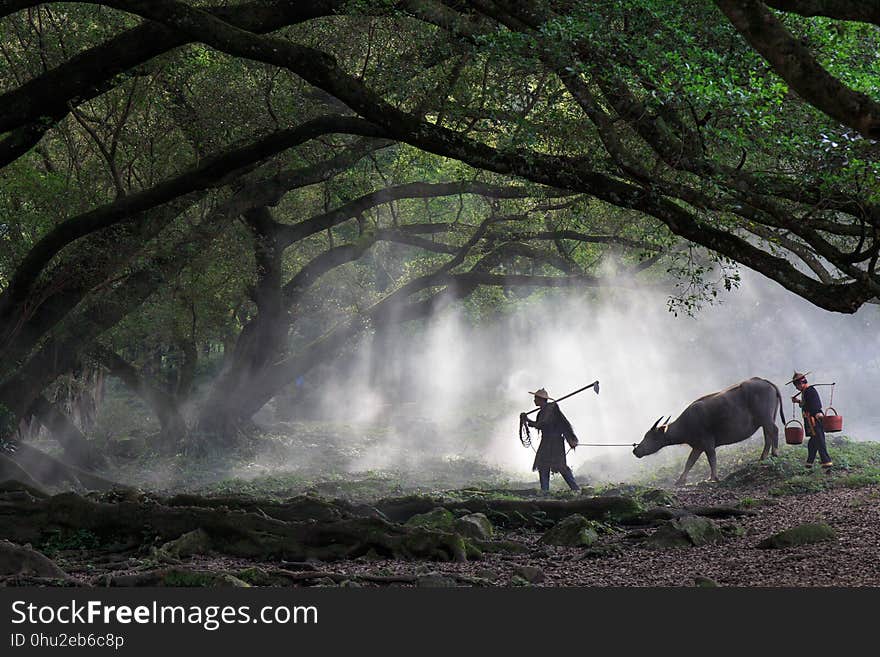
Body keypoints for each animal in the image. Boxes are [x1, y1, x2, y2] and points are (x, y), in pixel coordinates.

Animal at [632, 376, 784, 484]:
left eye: (650, 436)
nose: (636, 450)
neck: (687, 423)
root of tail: (764, 381)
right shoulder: (697, 447)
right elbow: (689, 462)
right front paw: (680, 480)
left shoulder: (707, 443)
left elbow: (712, 459)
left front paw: (713, 477)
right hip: (767, 418)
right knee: (768, 435)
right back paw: (763, 457)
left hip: (765, 417)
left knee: (774, 430)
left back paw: (775, 453)